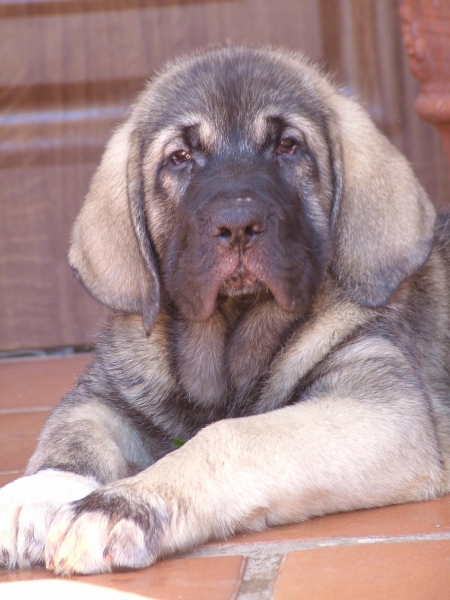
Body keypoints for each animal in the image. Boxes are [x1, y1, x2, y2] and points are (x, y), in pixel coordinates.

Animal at [0, 45, 450, 572]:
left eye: (288, 147)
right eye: (180, 158)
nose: (237, 224)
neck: (229, 339)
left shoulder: (382, 404)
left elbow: (228, 437)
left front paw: (118, 504)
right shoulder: (108, 391)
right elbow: (72, 430)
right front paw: (38, 491)